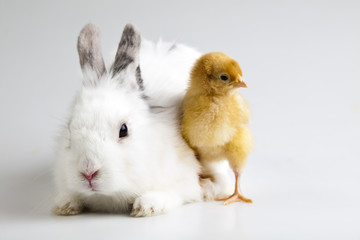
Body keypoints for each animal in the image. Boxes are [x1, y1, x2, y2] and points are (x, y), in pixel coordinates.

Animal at [54, 23, 205, 217]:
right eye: (69, 128)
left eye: (123, 130)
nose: (88, 172)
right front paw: (65, 205)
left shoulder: (185, 180)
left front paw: (147, 206)